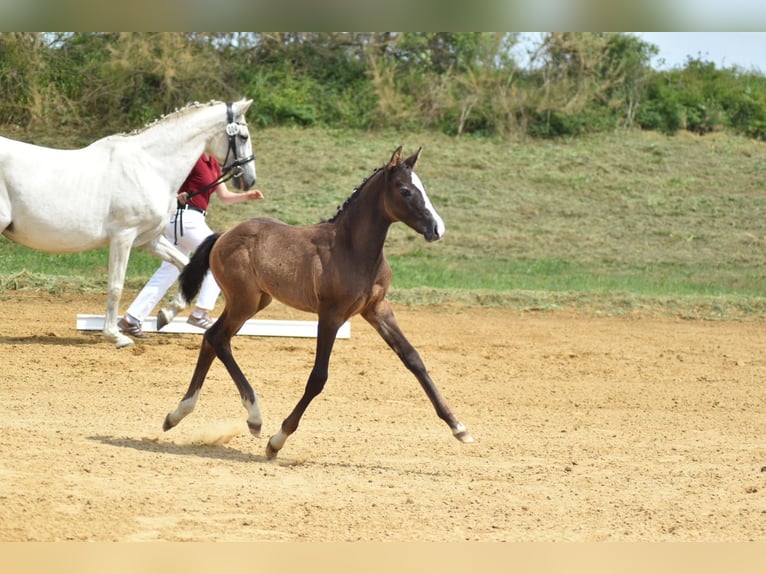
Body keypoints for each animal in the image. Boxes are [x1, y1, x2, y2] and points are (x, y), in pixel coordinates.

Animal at [0, 100, 257, 348]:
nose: (249, 179)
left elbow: (185, 266)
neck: (150, 166)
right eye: (243, 136)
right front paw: (116, 336)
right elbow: (116, 286)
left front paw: (165, 315)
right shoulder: (123, 237)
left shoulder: (149, 240)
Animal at [163, 146, 474, 458]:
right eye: (405, 190)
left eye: (422, 188)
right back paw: (253, 417)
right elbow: (318, 377)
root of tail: (223, 235)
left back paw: (179, 414)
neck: (352, 249)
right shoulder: (331, 315)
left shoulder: (377, 309)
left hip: (256, 301)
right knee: (218, 338)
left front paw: (459, 427)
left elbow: (413, 359)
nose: (437, 229)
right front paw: (277, 440)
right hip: (244, 302)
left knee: (213, 338)